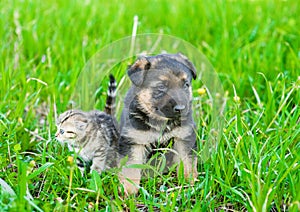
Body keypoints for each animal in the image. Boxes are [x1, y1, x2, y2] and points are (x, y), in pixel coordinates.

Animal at [118, 53, 198, 195]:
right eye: (161, 87)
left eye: (186, 84)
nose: (181, 108)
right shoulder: (134, 141)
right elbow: (131, 167)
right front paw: (129, 189)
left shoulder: (184, 137)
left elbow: (187, 161)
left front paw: (188, 181)